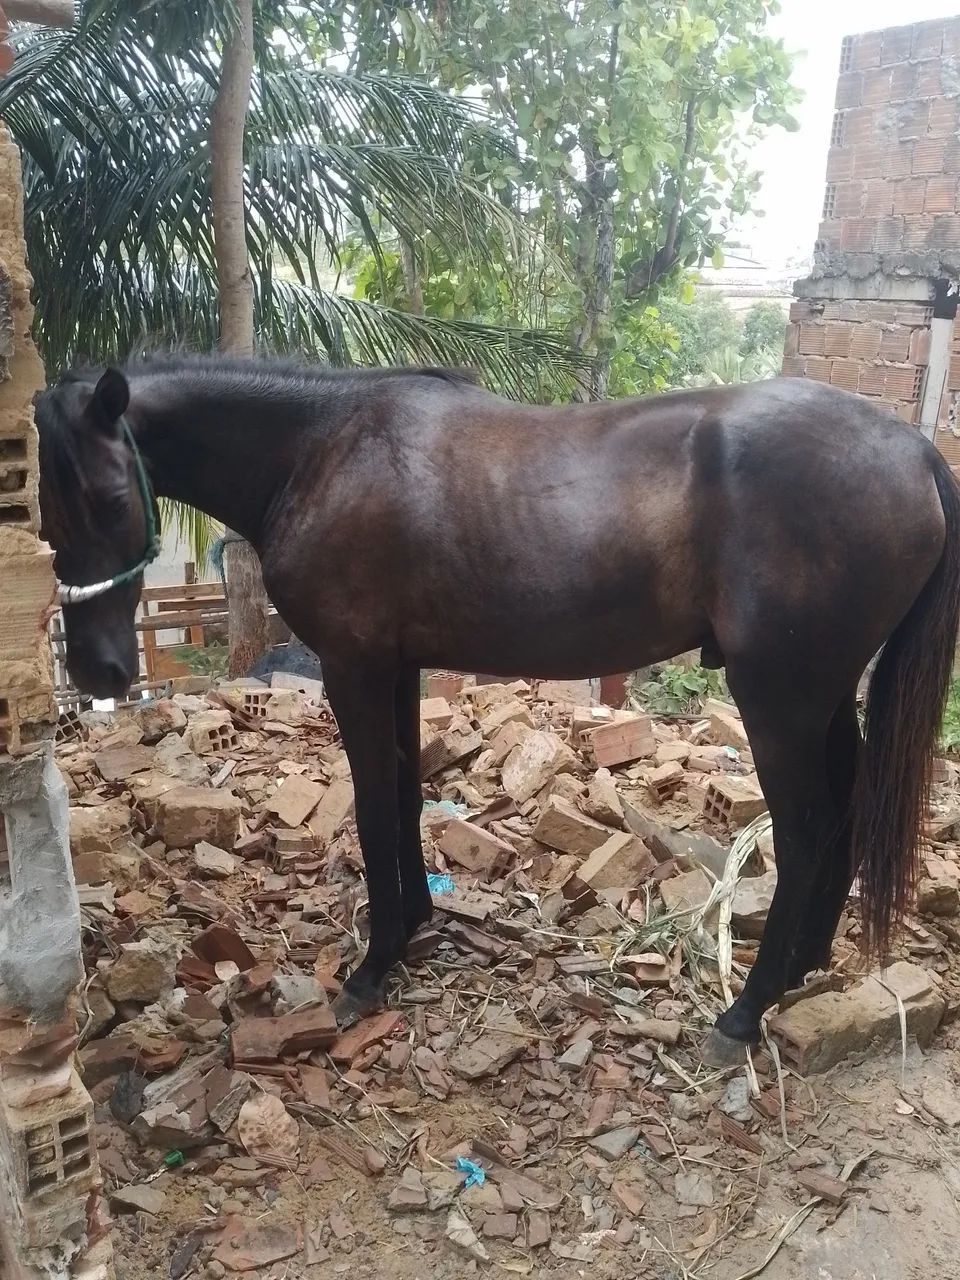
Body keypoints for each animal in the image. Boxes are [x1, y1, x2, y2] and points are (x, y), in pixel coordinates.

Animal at [35, 354, 960, 1061]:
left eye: (112, 500)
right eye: (42, 514)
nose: (98, 667)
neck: (320, 450)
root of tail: (914, 451)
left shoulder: (354, 665)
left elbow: (374, 807)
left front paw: (373, 967)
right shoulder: (395, 667)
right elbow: (402, 797)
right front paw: (414, 925)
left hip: (780, 700)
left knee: (804, 836)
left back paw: (742, 1014)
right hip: (824, 699)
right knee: (844, 817)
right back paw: (804, 968)